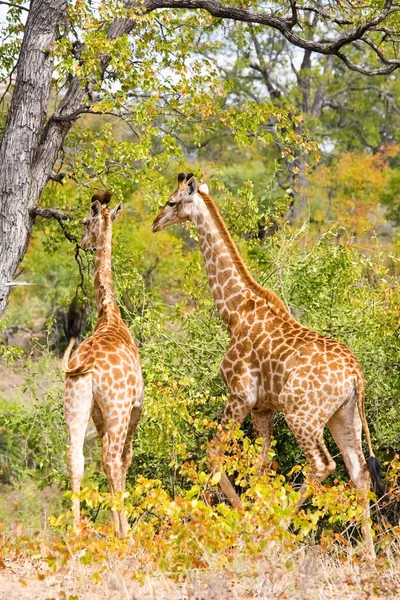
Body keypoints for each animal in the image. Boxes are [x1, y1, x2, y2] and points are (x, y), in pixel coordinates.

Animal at [152, 171, 384, 556]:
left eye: (172, 201)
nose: (156, 222)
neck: (234, 311)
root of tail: (356, 375)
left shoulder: (240, 394)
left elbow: (215, 453)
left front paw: (248, 524)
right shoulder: (263, 407)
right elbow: (260, 466)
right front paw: (251, 519)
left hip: (302, 414)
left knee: (323, 465)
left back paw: (277, 534)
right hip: (344, 415)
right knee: (359, 471)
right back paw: (367, 554)